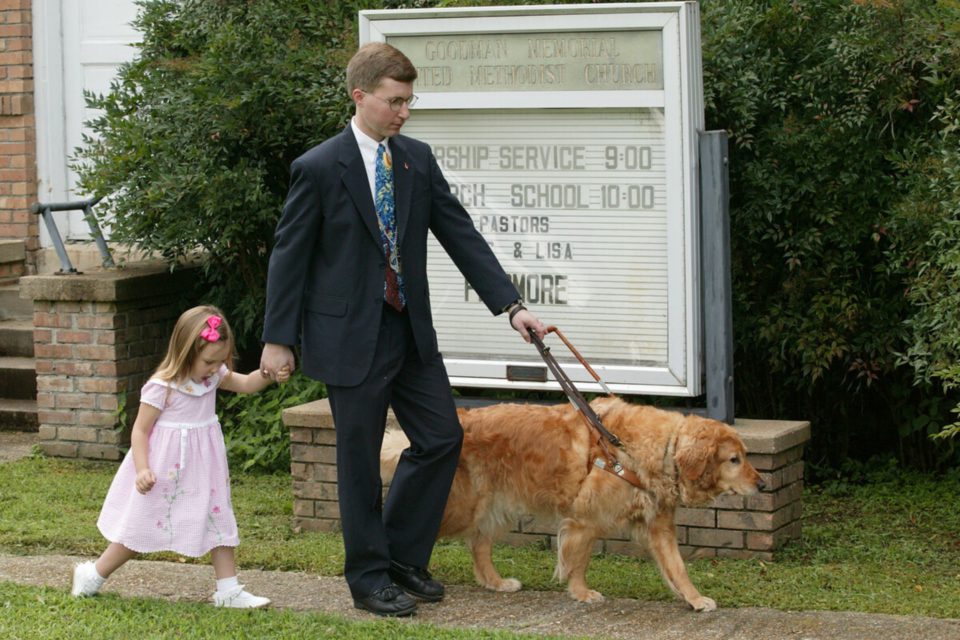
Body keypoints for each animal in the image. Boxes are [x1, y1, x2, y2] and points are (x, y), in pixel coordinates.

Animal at [382, 398, 764, 612]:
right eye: (734, 459)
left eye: (745, 456)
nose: (762, 484)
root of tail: (462, 419)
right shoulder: (585, 520)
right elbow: (578, 561)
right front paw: (581, 593)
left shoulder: (659, 527)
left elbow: (678, 569)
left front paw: (695, 599)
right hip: (461, 504)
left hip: (492, 506)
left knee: (478, 544)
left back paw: (496, 582)